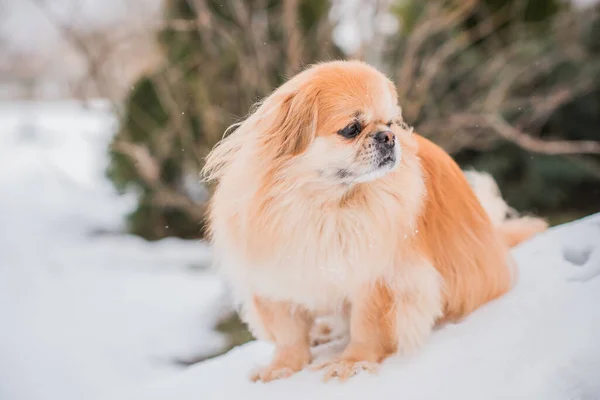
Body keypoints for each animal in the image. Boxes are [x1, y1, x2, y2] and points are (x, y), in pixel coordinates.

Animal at [203, 59, 548, 382]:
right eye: (352, 129)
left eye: (390, 123)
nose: (388, 136)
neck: (327, 206)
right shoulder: (275, 280)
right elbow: (289, 334)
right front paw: (283, 368)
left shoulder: (379, 280)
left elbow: (367, 326)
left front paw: (352, 362)